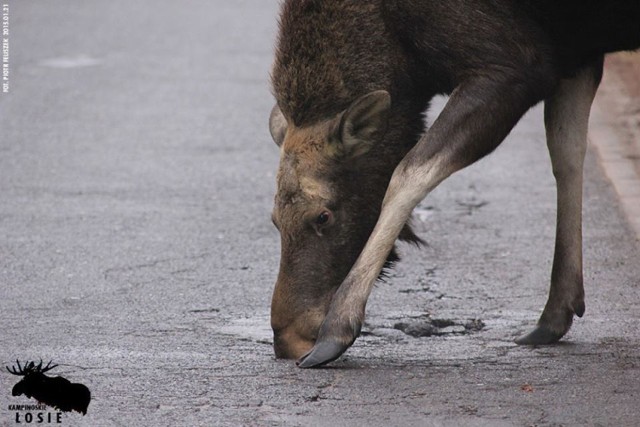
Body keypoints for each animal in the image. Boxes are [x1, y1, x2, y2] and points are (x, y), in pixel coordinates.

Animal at [268, 0, 640, 368]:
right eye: (274, 219)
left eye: (323, 216)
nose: (287, 337)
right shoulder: (576, 51)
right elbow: (567, 154)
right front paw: (556, 311)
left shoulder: (516, 67)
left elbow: (409, 172)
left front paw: (338, 328)